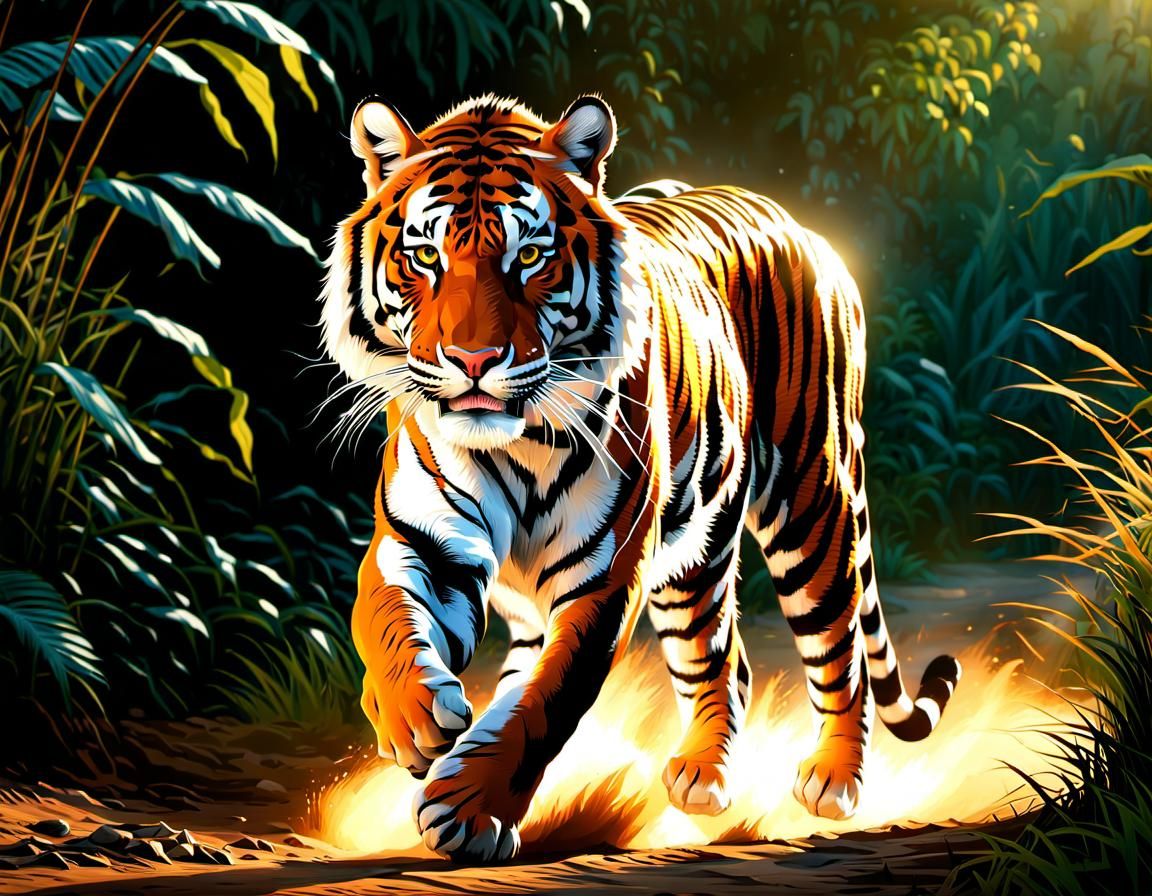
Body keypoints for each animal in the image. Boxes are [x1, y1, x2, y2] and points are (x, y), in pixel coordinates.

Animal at [319, 93, 961, 863]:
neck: (514, 443)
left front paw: (470, 809)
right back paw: (705, 774)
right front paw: (412, 720)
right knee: (725, 658)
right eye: (424, 256)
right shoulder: (424, 539)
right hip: (695, 556)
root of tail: (805, 229)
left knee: (841, 651)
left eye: (529, 256)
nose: (473, 361)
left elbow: (547, 701)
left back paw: (832, 779)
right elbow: (384, 617)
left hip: (813, 502)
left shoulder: (603, 578)